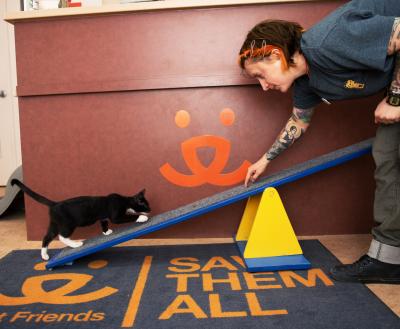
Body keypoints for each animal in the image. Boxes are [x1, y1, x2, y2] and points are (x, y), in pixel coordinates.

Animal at [11, 178, 152, 260]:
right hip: (68, 224)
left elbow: (104, 223)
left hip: (54, 224)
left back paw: (45, 255)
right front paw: (142, 217)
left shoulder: (103, 217)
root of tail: (55, 204)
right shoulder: (116, 216)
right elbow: (126, 217)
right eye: (145, 205)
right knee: (62, 236)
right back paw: (75, 244)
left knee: (47, 237)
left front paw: (107, 232)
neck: (125, 201)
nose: (150, 209)